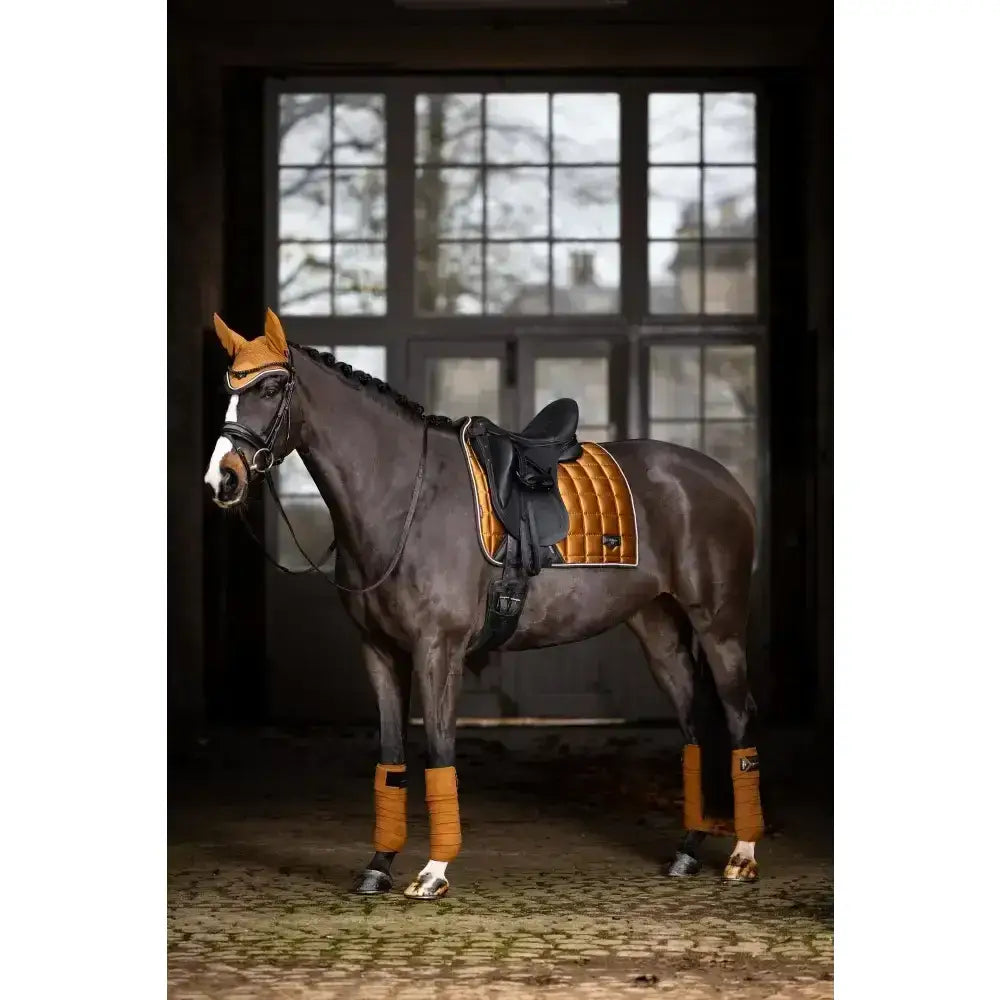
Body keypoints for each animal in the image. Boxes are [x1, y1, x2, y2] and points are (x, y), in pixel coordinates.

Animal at [204, 308, 764, 900]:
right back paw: (688, 851)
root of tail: (726, 482)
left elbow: (440, 751)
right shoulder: (379, 651)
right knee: (693, 724)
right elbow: (391, 756)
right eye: (227, 389)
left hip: (719, 626)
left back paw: (742, 856)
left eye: (269, 388)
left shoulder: (438, 650)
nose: (223, 478)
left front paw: (433, 871)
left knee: (737, 716)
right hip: (659, 630)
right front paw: (379, 864)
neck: (404, 498)